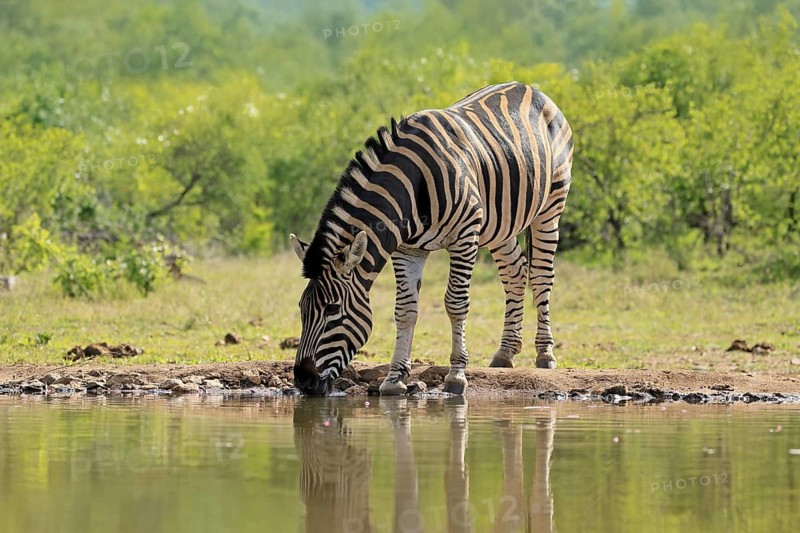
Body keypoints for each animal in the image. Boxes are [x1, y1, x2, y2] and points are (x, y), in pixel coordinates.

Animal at [290, 81, 573, 396]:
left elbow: (456, 303)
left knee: (541, 276)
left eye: (332, 309)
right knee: (515, 272)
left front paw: (457, 375)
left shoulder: (464, 236)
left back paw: (545, 354)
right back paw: (505, 353)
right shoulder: (407, 249)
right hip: (501, 224)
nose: (303, 381)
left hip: (550, 207)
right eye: (302, 309)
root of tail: (528, 87)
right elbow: (405, 310)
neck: (411, 188)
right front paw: (394, 379)